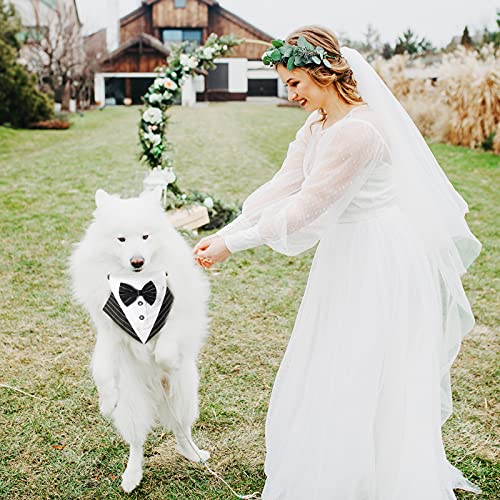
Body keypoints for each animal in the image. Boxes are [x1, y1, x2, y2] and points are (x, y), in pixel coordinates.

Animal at [70, 188, 209, 492]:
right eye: (121, 239)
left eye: (145, 237)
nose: (137, 261)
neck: (137, 286)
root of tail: (157, 395)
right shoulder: (110, 333)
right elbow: (102, 371)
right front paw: (106, 402)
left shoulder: (179, 315)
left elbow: (166, 348)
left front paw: (168, 362)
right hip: (133, 407)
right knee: (137, 443)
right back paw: (131, 476)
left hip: (183, 397)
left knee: (182, 430)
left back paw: (194, 454)